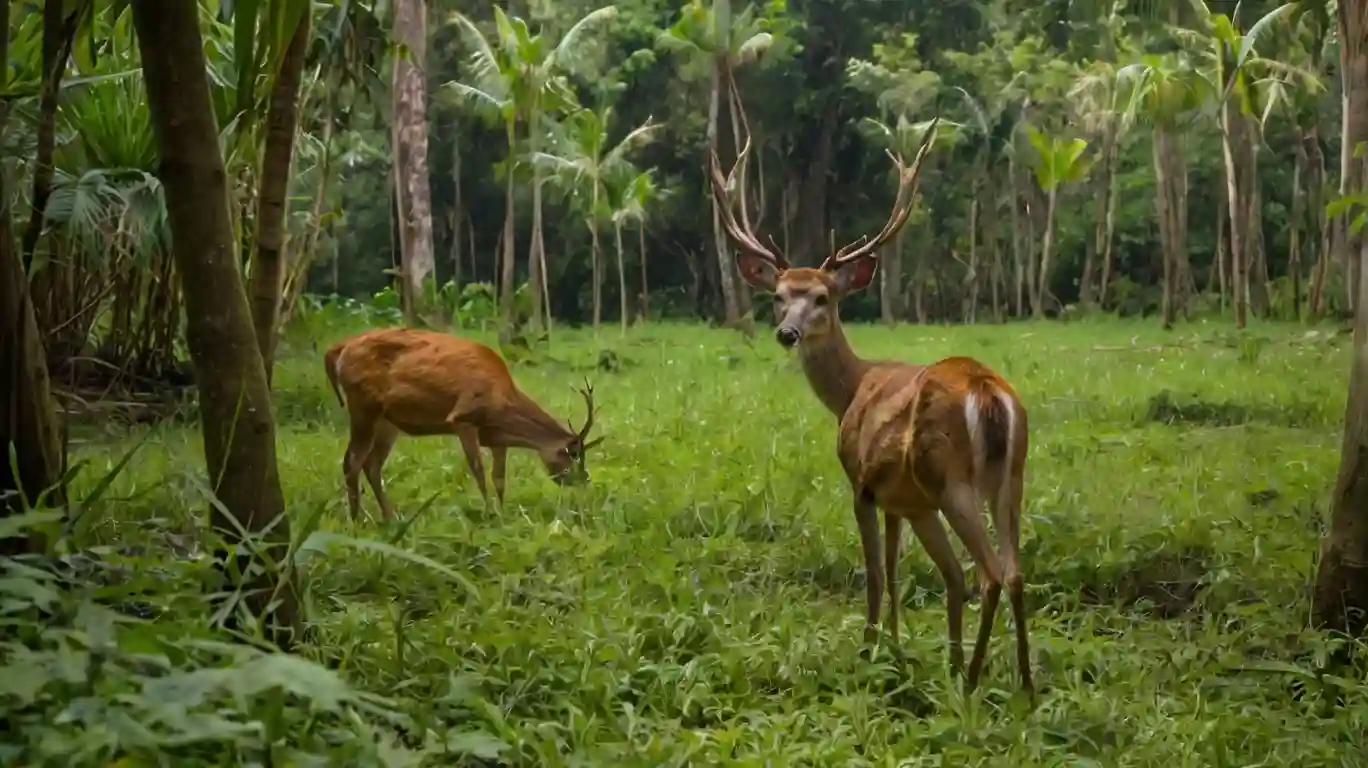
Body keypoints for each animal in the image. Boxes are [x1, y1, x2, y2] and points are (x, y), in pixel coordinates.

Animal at [322, 325, 601, 517]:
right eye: (574, 454)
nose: (585, 479)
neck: (503, 401)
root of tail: (338, 349)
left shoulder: (495, 436)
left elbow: (499, 478)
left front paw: (503, 514)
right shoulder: (464, 418)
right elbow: (478, 471)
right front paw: (488, 514)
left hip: (386, 421)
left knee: (371, 464)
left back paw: (389, 519)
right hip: (363, 406)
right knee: (352, 462)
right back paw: (358, 520)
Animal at [711, 89, 1028, 695]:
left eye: (822, 299)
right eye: (778, 296)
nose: (786, 332)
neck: (851, 390)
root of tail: (987, 393)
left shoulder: (862, 483)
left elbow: (878, 574)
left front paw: (869, 651)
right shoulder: (904, 502)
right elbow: (912, 573)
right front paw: (907, 654)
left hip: (949, 476)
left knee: (989, 573)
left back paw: (973, 680)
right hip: (1012, 477)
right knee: (1011, 570)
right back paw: (1022, 680)